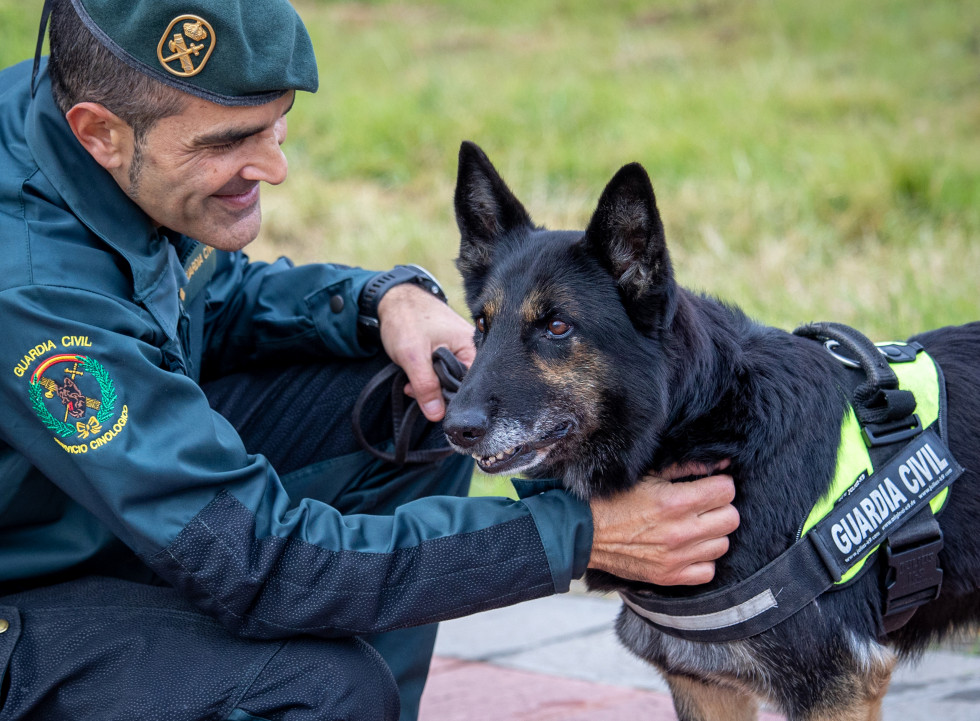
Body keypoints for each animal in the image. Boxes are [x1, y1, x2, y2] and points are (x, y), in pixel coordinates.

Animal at [444, 142, 980, 720]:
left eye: (557, 327)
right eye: (481, 325)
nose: (455, 428)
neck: (700, 423)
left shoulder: (838, 688)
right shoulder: (704, 685)